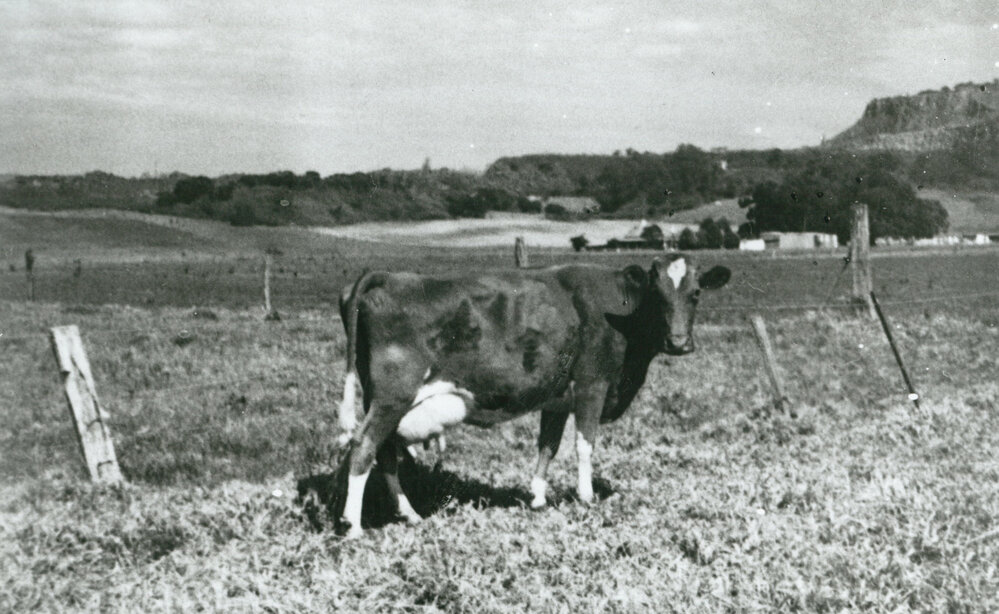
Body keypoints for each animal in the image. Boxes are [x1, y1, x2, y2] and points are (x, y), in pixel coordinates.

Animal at [334, 256, 730, 538]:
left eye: (696, 294)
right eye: (658, 295)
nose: (678, 343)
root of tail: (390, 276)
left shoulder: (557, 398)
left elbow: (547, 446)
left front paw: (537, 498)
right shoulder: (593, 384)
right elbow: (584, 445)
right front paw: (586, 497)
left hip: (383, 400)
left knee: (385, 452)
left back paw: (410, 514)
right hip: (393, 396)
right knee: (364, 447)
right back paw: (353, 527)